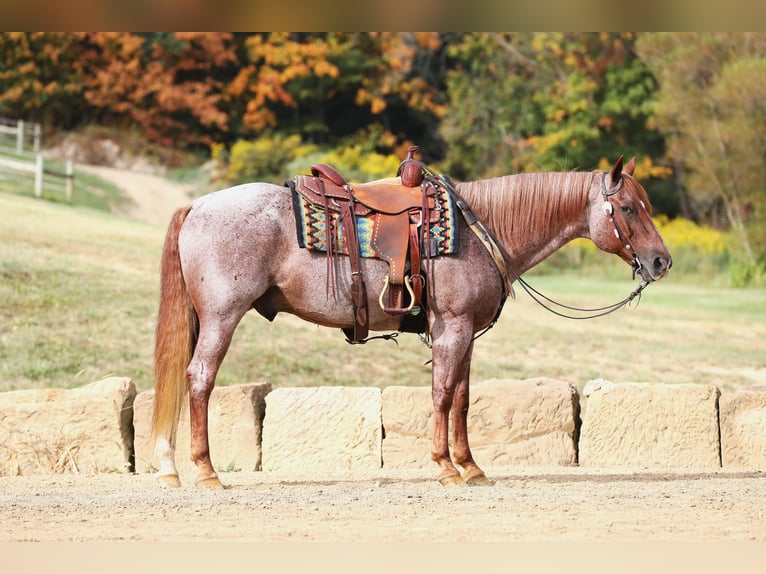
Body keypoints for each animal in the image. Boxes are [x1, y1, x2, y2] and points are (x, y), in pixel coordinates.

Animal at [150, 156, 672, 490]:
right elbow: (441, 395)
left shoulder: (464, 334)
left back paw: (170, 468)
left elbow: (461, 399)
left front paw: (471, 467)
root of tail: (197, 205)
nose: (661, 261)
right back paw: (205, 472)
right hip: (221, 317)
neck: (481, 230)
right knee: (199, 379)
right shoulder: (453, 329)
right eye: (629, 208)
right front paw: (445, 467)